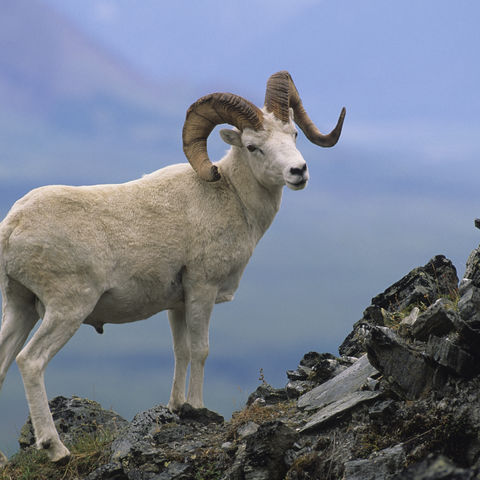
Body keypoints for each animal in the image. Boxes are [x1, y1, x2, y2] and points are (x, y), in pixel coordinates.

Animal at [0, 71, 344, 464]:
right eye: (253, 146)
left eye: (294, 135)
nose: (298, 172)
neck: (231, 197)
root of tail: (12, 226)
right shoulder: (203, 289)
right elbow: (201, 349)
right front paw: (197, 407)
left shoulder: (176, 303)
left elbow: (180, 350)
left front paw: (178, 407)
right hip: (66, 309)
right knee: (30, 362)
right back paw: (56, 449)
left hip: (20, 307)